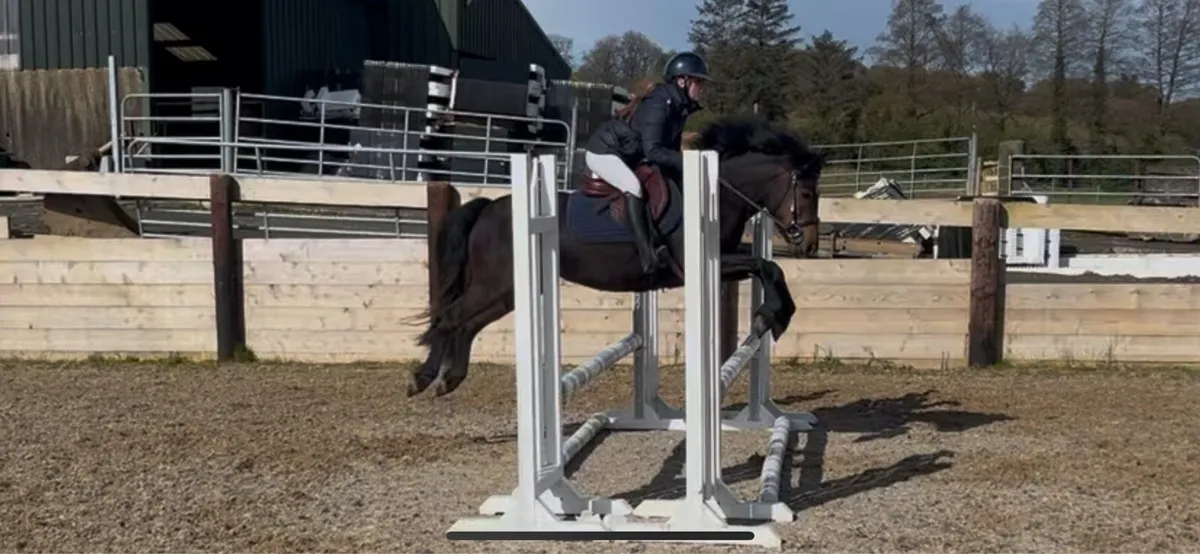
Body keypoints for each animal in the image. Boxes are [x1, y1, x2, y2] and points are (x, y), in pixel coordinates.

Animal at [407, 116, 825, 398]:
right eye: (806, 194)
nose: (809, 244)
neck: (716, 193)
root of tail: (488, 208)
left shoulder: (721, 261)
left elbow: (769, 267)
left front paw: (774, 315)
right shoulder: (700, 263)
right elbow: (768, 265)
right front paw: (773, 316)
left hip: (505, 293)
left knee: (466, 323)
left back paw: (448, 379)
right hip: (495, 285)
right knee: (451, 317)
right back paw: (423, 378)